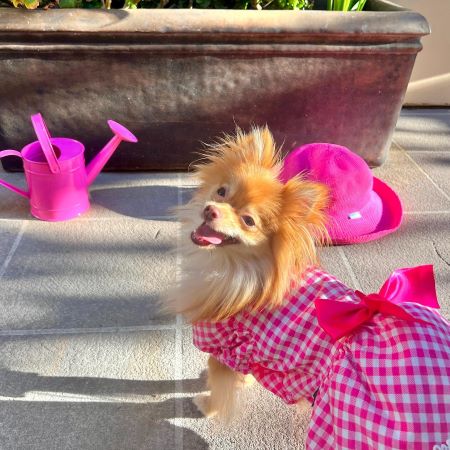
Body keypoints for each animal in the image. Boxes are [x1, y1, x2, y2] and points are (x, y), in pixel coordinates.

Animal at [170, 127, 450, 450]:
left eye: (248, 221)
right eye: (221, 192)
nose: (210, 210)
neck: (243, 271)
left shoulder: (226, 344)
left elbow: (220, 388)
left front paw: (206, 405)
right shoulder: (249, 351)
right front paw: (246, 381)